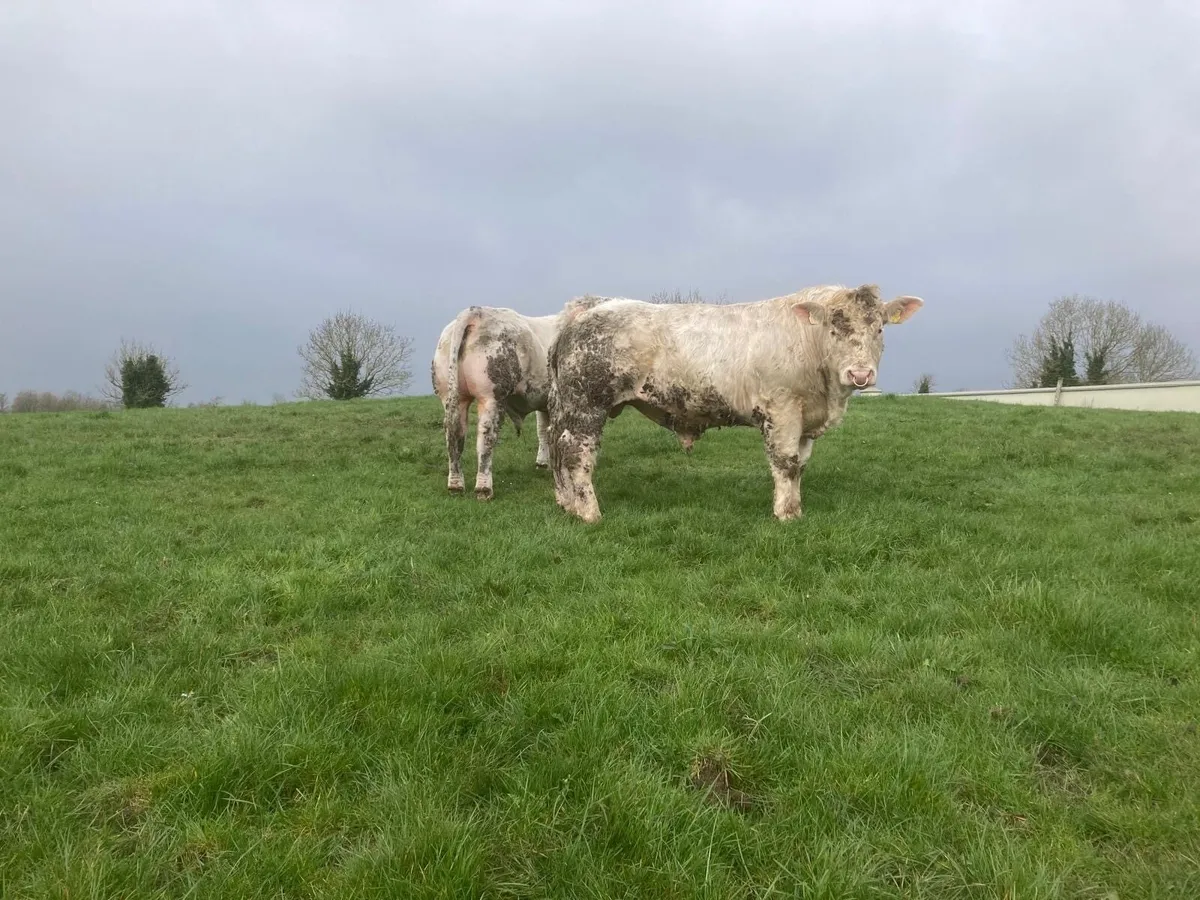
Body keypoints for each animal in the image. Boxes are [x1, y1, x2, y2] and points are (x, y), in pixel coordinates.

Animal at [431, 296, 613, 499]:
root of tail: (476, 312)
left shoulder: (545, 401)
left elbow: (543, 430)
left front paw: (543, 463)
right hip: (491, 397)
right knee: (485, 438)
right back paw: (484, 488)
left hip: (451, 397)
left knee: (453, 435)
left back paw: (455, 485)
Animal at [546, 283, 924, 522]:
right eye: (834, 327)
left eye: (879, 328)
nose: (860, 373)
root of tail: (592, 304)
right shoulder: (782, 410)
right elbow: (786, 463)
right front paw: (786, 515)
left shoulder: (806, 421)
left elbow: (800, 465)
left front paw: (796, 508)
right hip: (587, 404)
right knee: (577, 454)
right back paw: (590, 513)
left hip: (566, 406)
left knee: (555, 447)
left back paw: (567, 505)